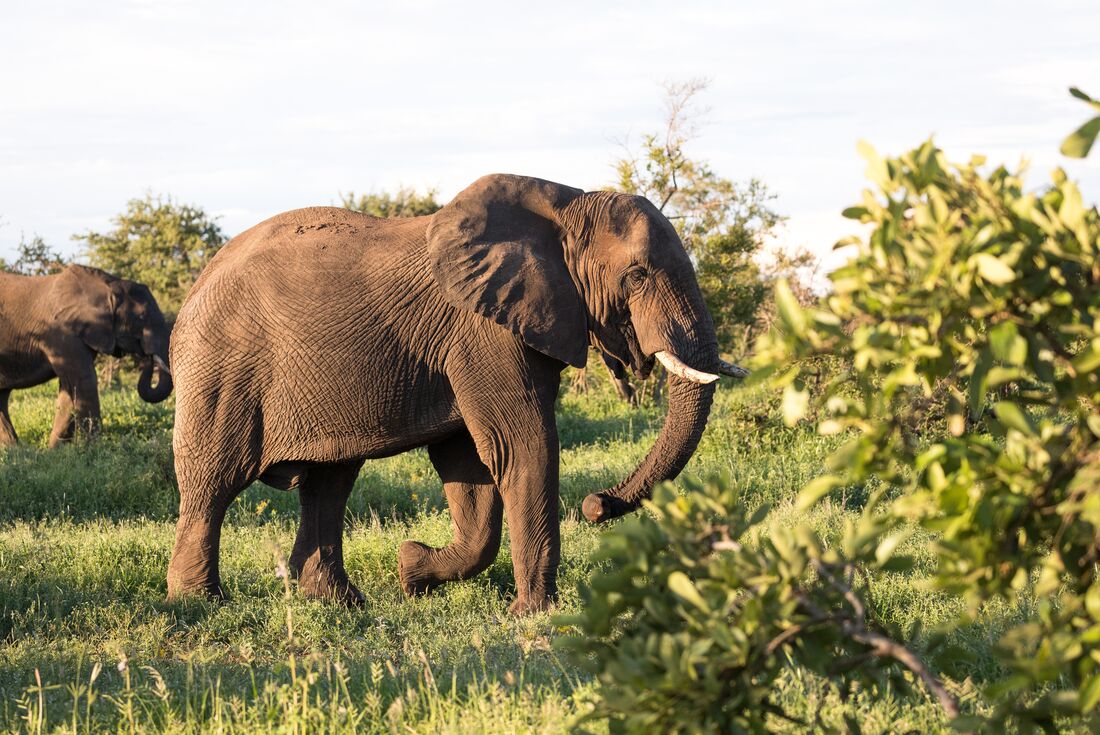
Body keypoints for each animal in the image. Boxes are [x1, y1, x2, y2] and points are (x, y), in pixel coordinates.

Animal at [0, 265, 172, 448]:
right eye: (141, 316)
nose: (148, 357)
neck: (109, 285)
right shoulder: (62, 333)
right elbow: (84, 381)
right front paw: (93, 448)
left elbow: (69, 388)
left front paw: (55, 450)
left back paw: (14, 450)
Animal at [165, 173, 748, 616]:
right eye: (637, 276)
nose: (596, 505)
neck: (565, 205)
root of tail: (196, 283)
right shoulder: (483, 331)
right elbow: (523, 446)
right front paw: (534, 615)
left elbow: (468, 464)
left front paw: (412, 571)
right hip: (221, 369)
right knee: (212, 482)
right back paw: (200, 604)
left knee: (329, 483)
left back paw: (341, 604)